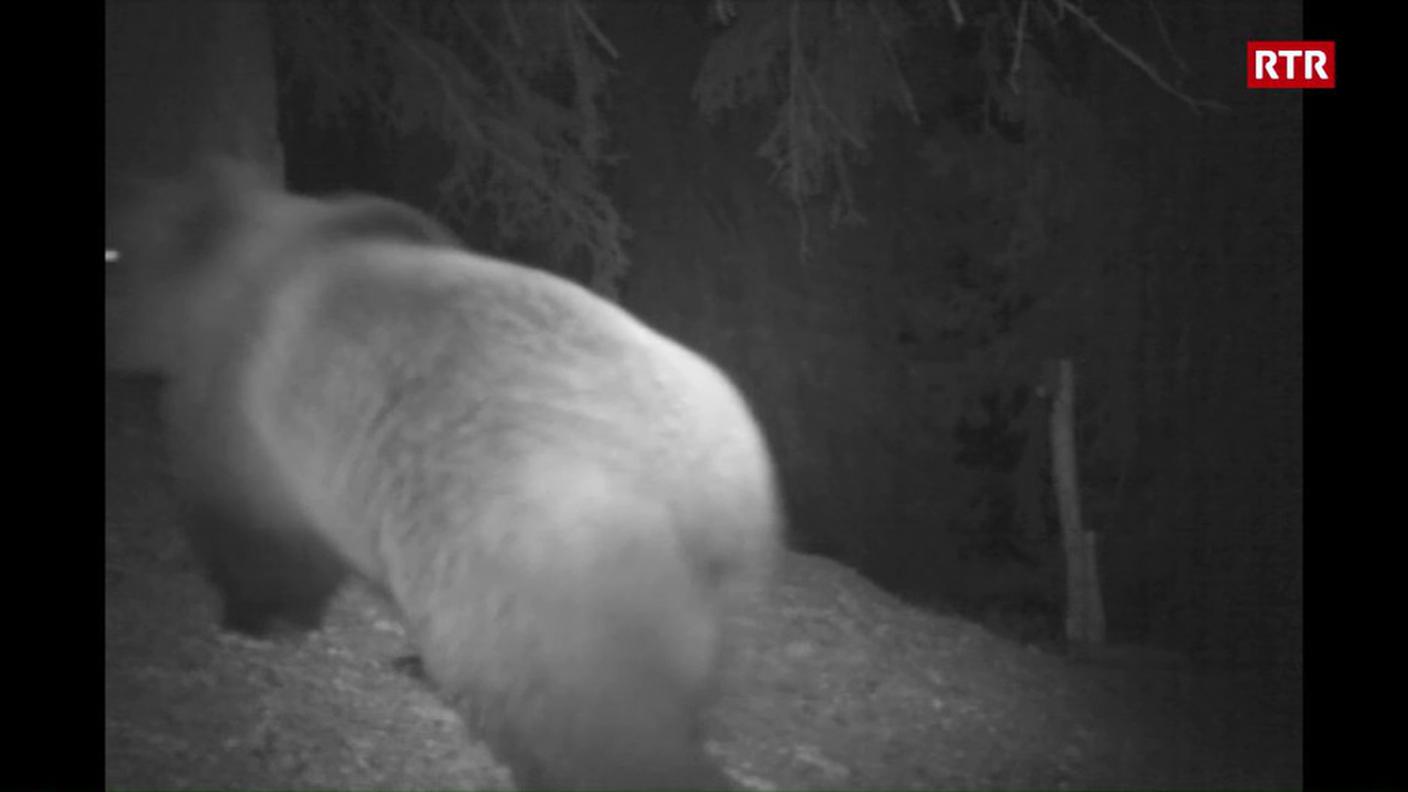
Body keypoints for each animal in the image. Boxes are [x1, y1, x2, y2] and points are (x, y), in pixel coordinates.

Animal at [105, 157, 783, 790]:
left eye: (111, 250)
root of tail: (708, 475)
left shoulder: (250, 415)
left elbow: (254, 532)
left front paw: (257, 616)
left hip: (541, 540)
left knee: (581, 706)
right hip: (721, 585)